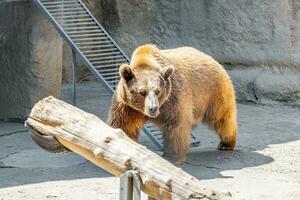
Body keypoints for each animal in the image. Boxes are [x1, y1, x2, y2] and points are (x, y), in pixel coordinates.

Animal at [108, 43, 237, 162]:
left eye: (158, 91)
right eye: (142, 92)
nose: (153, 108)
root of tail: (212, 59)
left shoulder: (172, 99)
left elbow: (176, 125)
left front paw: (171, 155)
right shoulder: (126, 105)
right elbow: (123, 125)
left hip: (213, 92)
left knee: (222, 117)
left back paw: (226, 143)